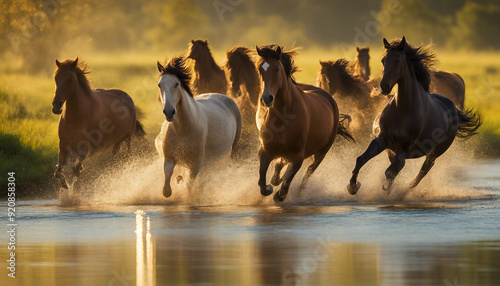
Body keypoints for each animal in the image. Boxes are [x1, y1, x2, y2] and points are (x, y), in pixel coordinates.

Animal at [52, 57, 145, 189]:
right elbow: (58, 172)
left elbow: (76, 166)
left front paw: (78, 172)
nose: (56, 106)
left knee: (128, 155)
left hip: (128, 138)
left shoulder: (87, 147)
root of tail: (128, 98)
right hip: (117, 141)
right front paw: (65, 184)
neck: (75, 119)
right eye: (56, 78)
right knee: (115, 156)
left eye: (69, 80)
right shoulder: (63, 146)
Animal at [156, 57, 242, 198]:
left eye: (176, 84)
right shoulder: (169, 158)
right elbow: (167, 185)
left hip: (228, 152)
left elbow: (189, 186)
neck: (183, 129)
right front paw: (174, 184)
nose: (169, 112)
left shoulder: (196, 164)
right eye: (160, 85)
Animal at [256, 44, 354, 201]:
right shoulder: (266, 150)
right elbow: (263, 183)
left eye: (276, 69)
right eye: (260, 69)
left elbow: (287, 182)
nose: (267, 98)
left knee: (309, 171)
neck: (283, 117)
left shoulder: (298, 156)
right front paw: (271, 185)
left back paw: (299, 189)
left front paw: (279, 194)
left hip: (322, 152)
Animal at [348, 36, 480, 196]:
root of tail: (453, 107)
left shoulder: (407, 147)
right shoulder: (382, 140)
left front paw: (385, 188)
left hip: (436, 151)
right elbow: (361, 159)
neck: (403, 109)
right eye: (383, 60)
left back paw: (406, 188)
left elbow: (391, 171)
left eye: (397, 60)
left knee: (425, 168)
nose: (384, 86)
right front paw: (352, 186)